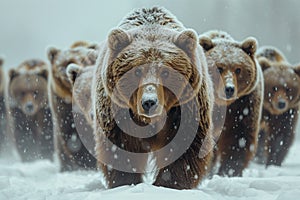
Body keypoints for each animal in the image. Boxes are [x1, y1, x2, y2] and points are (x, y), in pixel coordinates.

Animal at [93, 6, 213, 189]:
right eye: (137, 71)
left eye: (165, 72)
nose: (149, 102)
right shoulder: (118, 111)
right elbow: (122, 148)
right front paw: (126, 182)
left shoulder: (185, 109)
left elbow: (183, 147)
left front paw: (168, 183)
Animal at [200, 29, 264, 177]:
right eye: (219, 68)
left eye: (238, 69)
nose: (229, 88)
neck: (223, 104)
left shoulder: (244, 103)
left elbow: (238, 137)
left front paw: (229, 171)